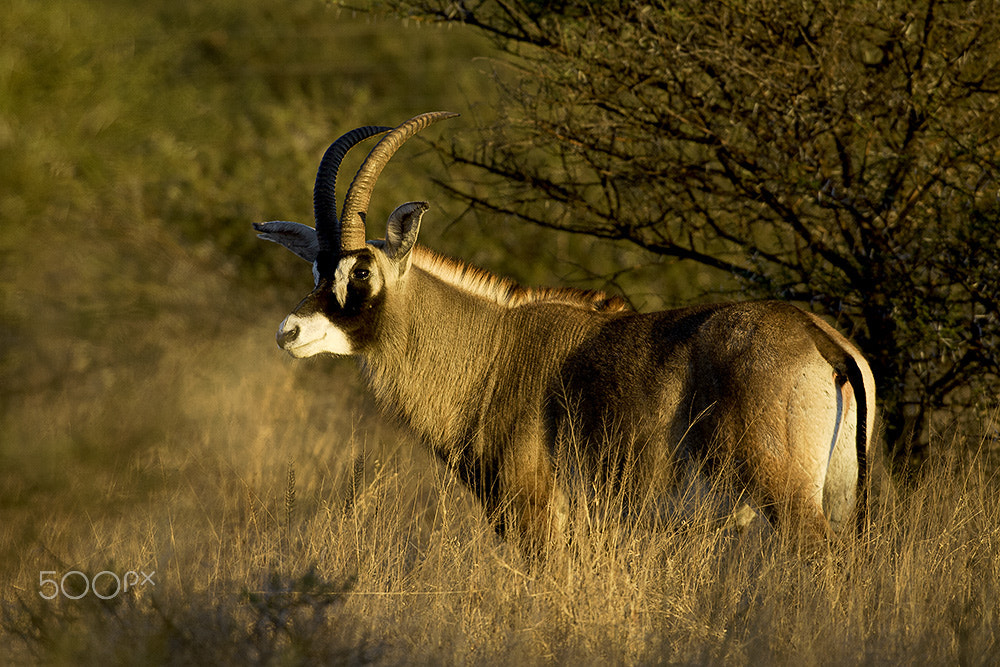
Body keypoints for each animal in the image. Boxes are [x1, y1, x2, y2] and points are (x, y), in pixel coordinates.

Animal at [256, 112, 876, 556]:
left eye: (360, 271)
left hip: (788, 500)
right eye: (316, 269)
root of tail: (817, 336)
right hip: (840, 500)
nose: (290, 331)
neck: (491, 349)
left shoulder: (536, 518)